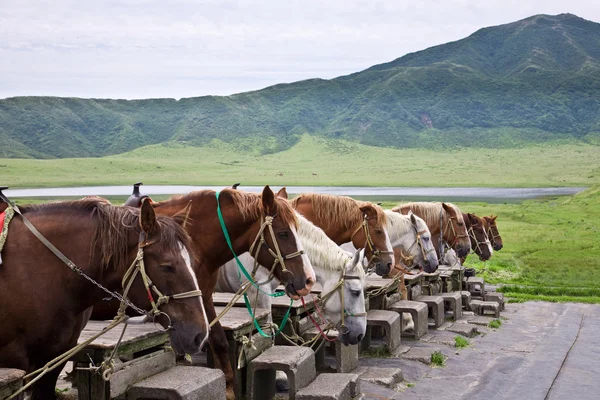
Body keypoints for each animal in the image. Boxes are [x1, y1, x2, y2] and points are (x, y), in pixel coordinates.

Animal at [92, 187, 316, 400]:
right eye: (283, 233)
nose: (308, 280)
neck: (196, 242)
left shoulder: (204, 300)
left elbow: (219, 342)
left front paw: (228, 390)